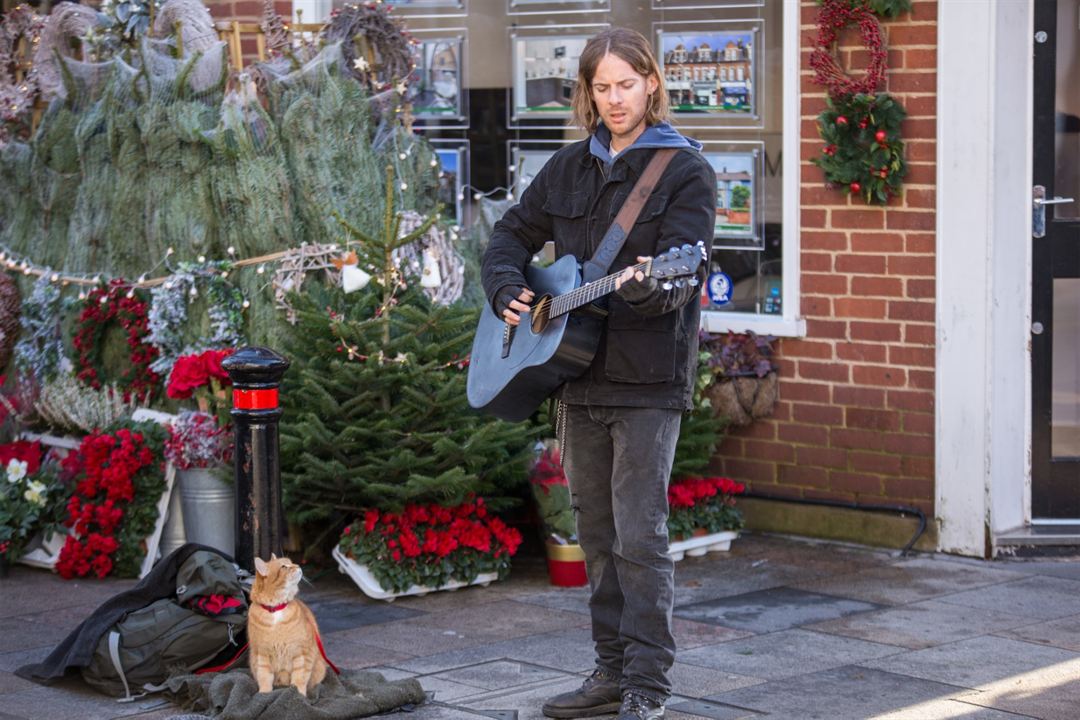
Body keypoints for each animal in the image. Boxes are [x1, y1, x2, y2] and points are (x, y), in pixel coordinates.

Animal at [247, 557, 326, 695]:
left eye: (291, 562)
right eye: (284, 566)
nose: (298, 565)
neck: (276, 610)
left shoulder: (302, 653)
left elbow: (300, 677)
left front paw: (298, 695)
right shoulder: (262, 654)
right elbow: (264, 677)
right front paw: (264, 693)